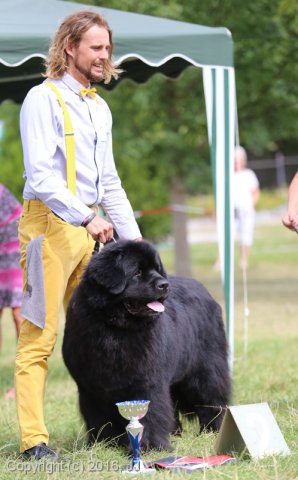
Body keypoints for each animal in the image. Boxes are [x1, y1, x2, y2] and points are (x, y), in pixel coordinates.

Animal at [62, 242, 230, 452]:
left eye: (157, 270)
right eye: (137, 273)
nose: (164, 285)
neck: (115, 329)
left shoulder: (146, 382)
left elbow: (151, 414)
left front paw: (149, 445)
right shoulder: (91, 387)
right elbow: (99, 417)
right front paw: (105, 444)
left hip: (206, 370)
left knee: (212, 398)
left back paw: (213, 431)